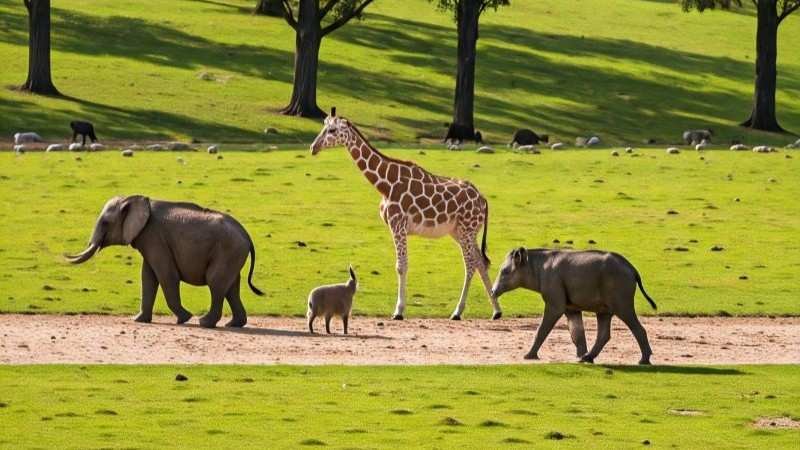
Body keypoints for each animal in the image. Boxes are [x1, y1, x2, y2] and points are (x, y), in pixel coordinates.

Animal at [66, 195, 266, 328]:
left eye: (106, 223)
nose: (65, 255)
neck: (135, 199)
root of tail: (246, 235)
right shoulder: (149, 240)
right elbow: (148, 277)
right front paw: (138, 320)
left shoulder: (154, 237)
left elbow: (166, 275)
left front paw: (185, 318)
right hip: (232, 254)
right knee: (231, 287)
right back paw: (233, 324)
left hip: (228, 250)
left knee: (215, 282)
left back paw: (204, 322)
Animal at [310, 108, 504, 320]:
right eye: (323, 126)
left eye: (332, 130)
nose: (313, 147)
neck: (385, 185)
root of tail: (483, 200)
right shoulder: (396, 227)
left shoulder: (398, 225)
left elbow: (401, 266)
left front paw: (398, 311)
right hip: (461, 232)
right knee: (480, 262)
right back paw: (496, 311)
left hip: (467, 230)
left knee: (470, 264)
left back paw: (457, 311)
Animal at [490, 248, 660, 364]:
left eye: (504, 272)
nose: (492, 292)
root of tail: (633, 270)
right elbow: (574, 323)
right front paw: (578, 357)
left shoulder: (554, 285)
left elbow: (553, 313)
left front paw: (528, 357)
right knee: (604, 325)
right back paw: (586, 358)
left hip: (619, 291)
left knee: (630, 320)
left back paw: (643, 361)